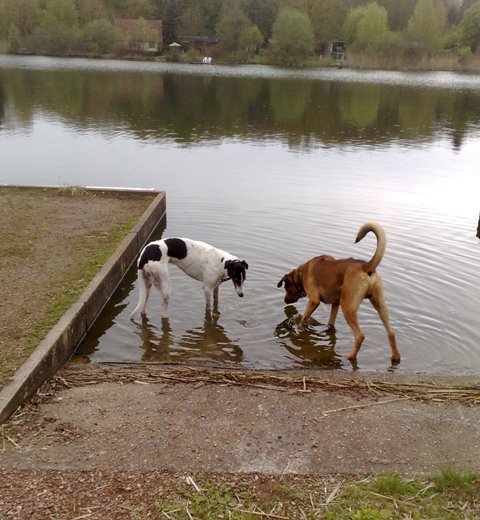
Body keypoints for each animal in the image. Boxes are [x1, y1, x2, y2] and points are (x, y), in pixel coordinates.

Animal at [277, 222, 400, 362]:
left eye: (286, 288)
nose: (285, 300)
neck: (301, 274)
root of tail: (366, 266)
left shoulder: (314, 301)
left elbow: (304, 318)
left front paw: (299, 327)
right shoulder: (335, 304)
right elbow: (331, 322)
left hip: (348, 307)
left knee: (360, 336)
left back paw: (351, 356)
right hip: (379, 304)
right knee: (391, 332)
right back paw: (396, 356)